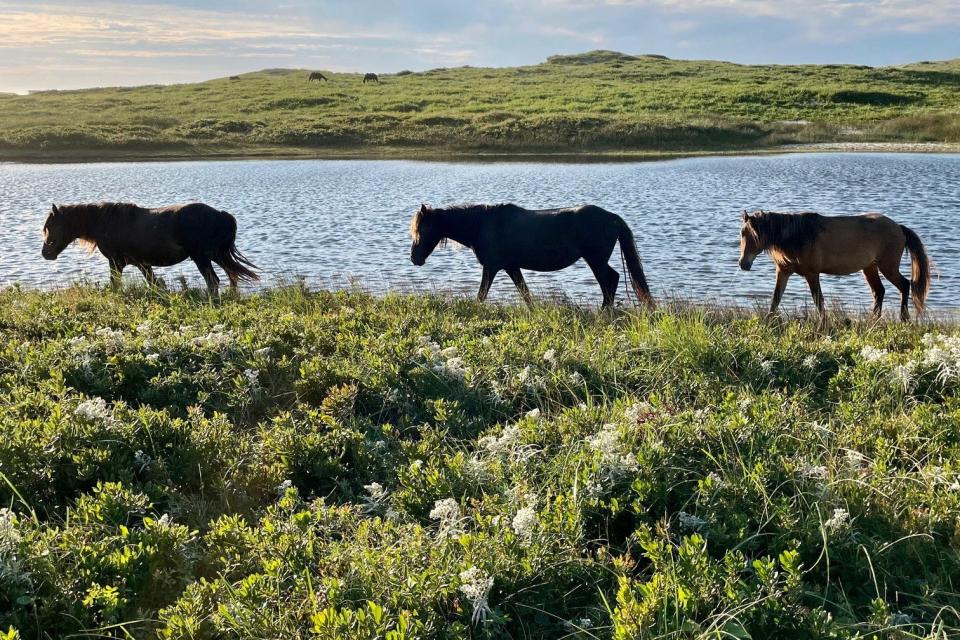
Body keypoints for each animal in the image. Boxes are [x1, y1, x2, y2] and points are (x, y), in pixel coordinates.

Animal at [41, 201, 258, 294]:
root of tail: (221, 214)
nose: (45, 254)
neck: (104, 221)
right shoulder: (142, 264)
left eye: (50, 226)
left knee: (213, 281)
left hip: (202, 257)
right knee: (231, 276)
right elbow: (154, 283)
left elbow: (115, 284)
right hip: (216, 255)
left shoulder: (116, 262)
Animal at [408, 202, 656, 308]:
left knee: (610, 281)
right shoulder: (511, 266)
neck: (482, 225)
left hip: (595, 260)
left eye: (422, 230)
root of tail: (611, 216)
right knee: (610, 282)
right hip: (596, 260)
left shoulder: (492, 267)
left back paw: (604, 312)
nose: (414, 258)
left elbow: (482, 294)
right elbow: (525, 293)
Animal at [736, 210, 928, 320]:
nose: (743, 264)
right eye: (742, 233)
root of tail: (899, 228)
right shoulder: (783, 271)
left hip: (887, 266)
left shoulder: (812, 274)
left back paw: (904, 318)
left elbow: (818, 300)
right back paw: (874, 320)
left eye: (750, 234)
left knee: (904, 285)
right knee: (879, 291)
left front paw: (823, 323)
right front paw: (768, 321)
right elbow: (775, 298)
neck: (798, 235)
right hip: (870, 267)